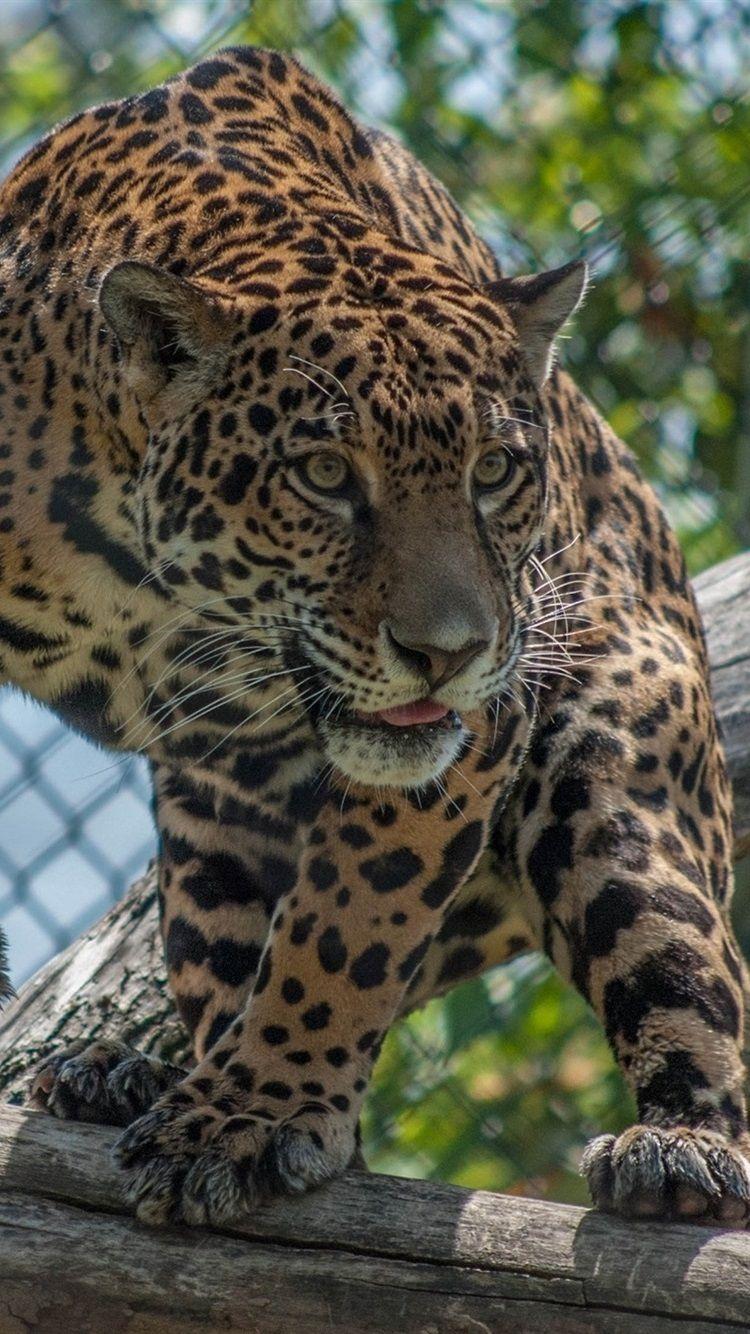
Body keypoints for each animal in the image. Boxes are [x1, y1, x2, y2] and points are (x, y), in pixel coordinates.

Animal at [1, 45, 748, 1231]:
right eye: (322, 475)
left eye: (495, 471)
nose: (448, 651)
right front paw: (235, 1099)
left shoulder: (483, 727)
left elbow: (350, 921)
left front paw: (251, 1112)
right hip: (208, 831)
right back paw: (134, 1074)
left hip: (617, 771)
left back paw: (681, 1150)